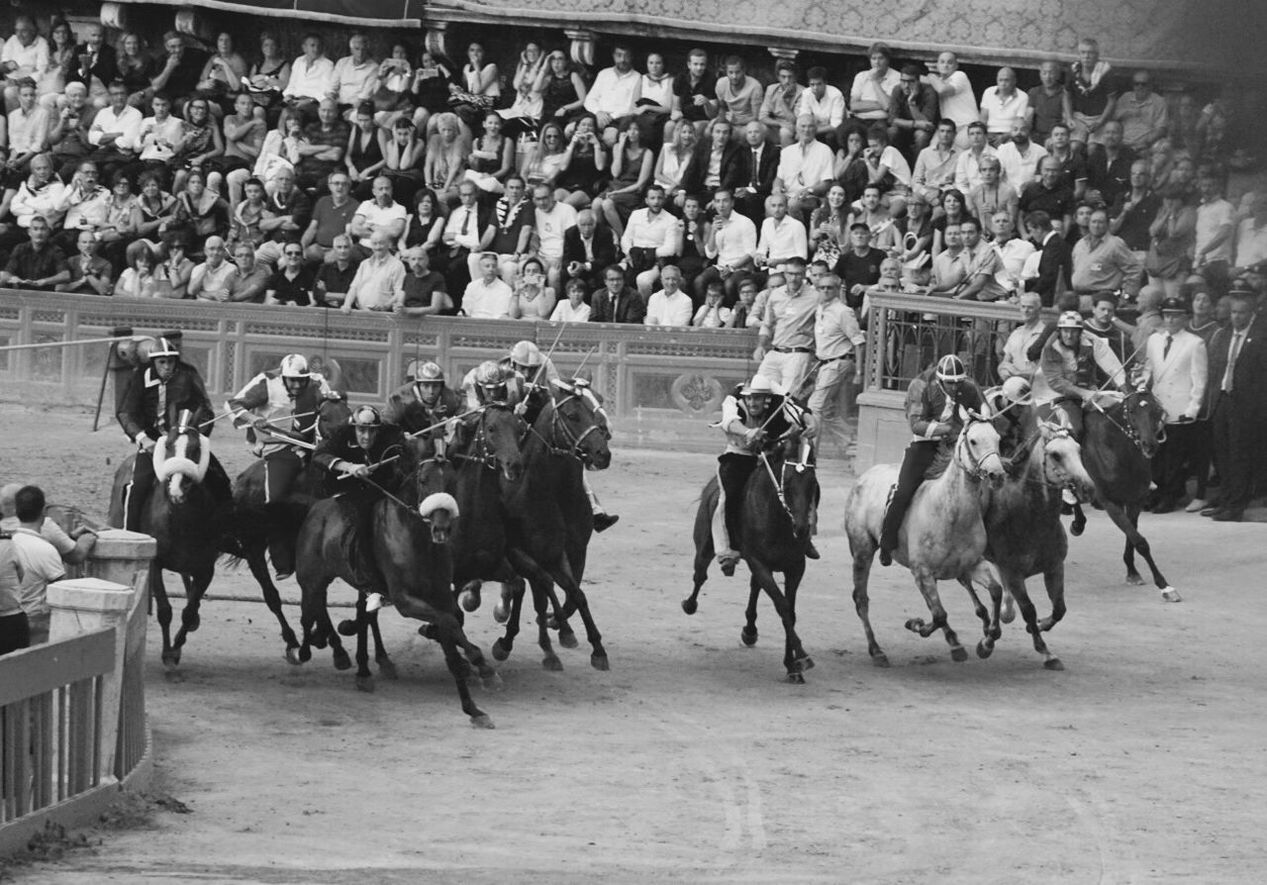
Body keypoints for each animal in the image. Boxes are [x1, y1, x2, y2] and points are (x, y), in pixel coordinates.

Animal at [494, 379, 613, 673]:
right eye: (572, 415)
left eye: (599, 404)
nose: (602, 453)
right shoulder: (521, 552)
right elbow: (544, 588)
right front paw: (563, 631)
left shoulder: (567, 551)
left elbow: (575, 593)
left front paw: (595, 647)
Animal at [684, 433, 821, 683]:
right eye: (787, 483)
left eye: (812, 483)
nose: (802, 528)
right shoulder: (759, 563)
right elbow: (783, 607)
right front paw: (802, 657)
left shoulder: (796, 567)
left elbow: (790, 612)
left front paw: (792, 665)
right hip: (705, 547)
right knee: (700, 575)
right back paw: (690, 604)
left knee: (753, 587)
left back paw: (749, 631)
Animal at [841, 412, 1008, 663]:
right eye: (974, 441)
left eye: (997, 439)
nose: (996, 475)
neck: (952, 513)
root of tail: (865, 477)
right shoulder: (922, 572)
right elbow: (939, 615)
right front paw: (917, 625)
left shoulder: (972, 565)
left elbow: (996, 592)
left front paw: (987, 642)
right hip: (862, 552)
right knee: (861, 599)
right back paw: (876, 650)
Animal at [978, 405, 1099, 668]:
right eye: (1055, 454)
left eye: (1078, 449)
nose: (1087, 487)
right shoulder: (1014, 575)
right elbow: (1029, 610)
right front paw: (1046, 652)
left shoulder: (1054, 567)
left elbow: (1059, 608)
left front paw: (1042, 624)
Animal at [1074, 389, 1180, 602]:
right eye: (1131, 411)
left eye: (1157, 409)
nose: (1150, 445)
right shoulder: (1109, 503)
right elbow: (1139, 541)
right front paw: (1164, 586)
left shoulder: (1135, 500)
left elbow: (1132, 536)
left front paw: (1132, 572)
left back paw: (1078, 523)